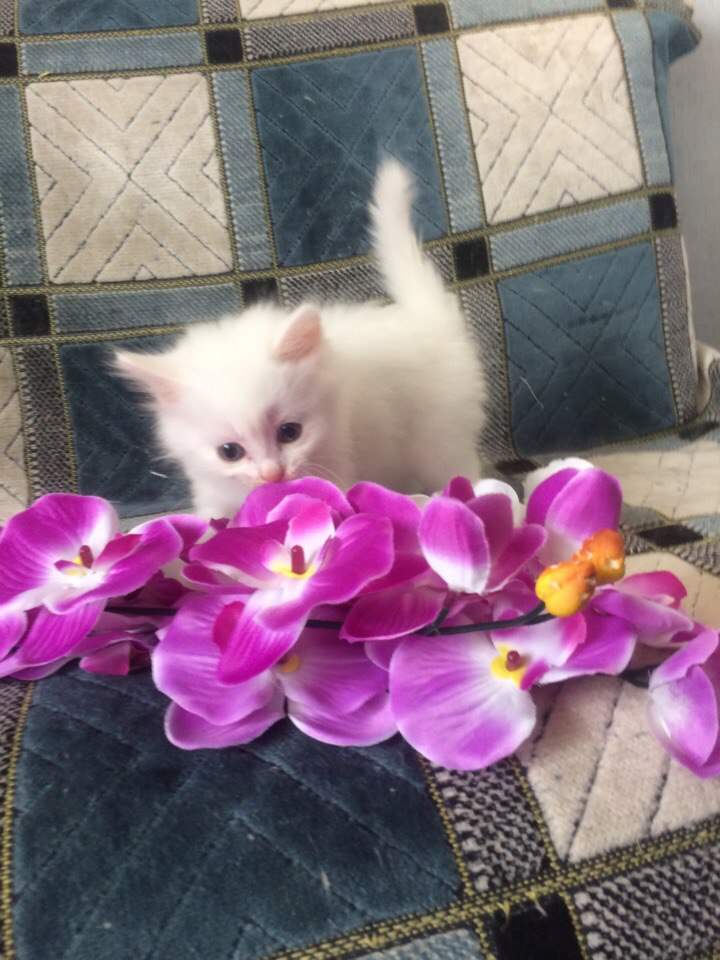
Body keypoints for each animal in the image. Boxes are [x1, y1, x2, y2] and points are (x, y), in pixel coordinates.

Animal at [114, 160, 486, 520]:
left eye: (290, 432)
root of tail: (425, 316)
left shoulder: (337, 465)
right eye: (229, 452)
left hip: (439, 437)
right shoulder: (212, 492)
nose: (272, 475)